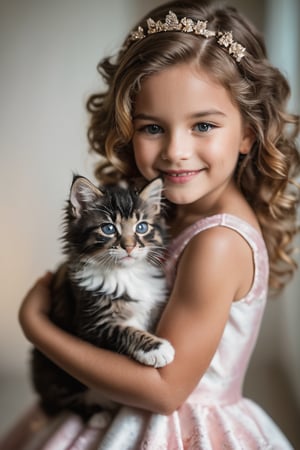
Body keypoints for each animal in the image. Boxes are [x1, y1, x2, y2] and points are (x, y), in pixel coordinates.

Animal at [31, 177, 173, 418]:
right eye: (108, 228)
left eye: (141, 227)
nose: (129, 246)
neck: (124, 273)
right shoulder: (92, 323)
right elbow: (126, 331)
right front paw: (157, 349)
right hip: (53, 374)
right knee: (71, 402)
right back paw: (99, 415)